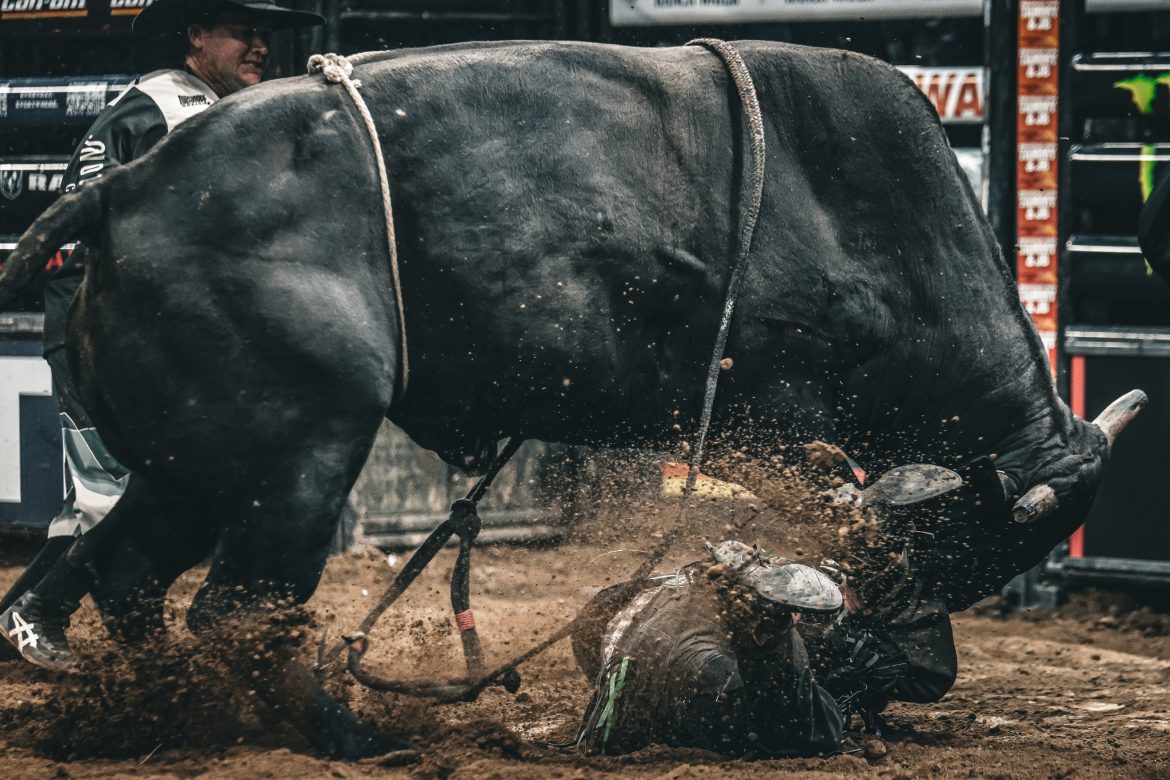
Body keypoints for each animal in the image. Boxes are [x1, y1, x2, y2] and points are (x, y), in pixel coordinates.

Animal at [0, 40, 1143, 757]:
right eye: (960, 544)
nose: (888, 669)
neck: (877, 222)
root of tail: (124, 189)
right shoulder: (784, 421)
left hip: (194, 463)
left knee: (133, 569)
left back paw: (161, 711)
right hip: (296, 456)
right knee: (235, 606)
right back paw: (357, 740)